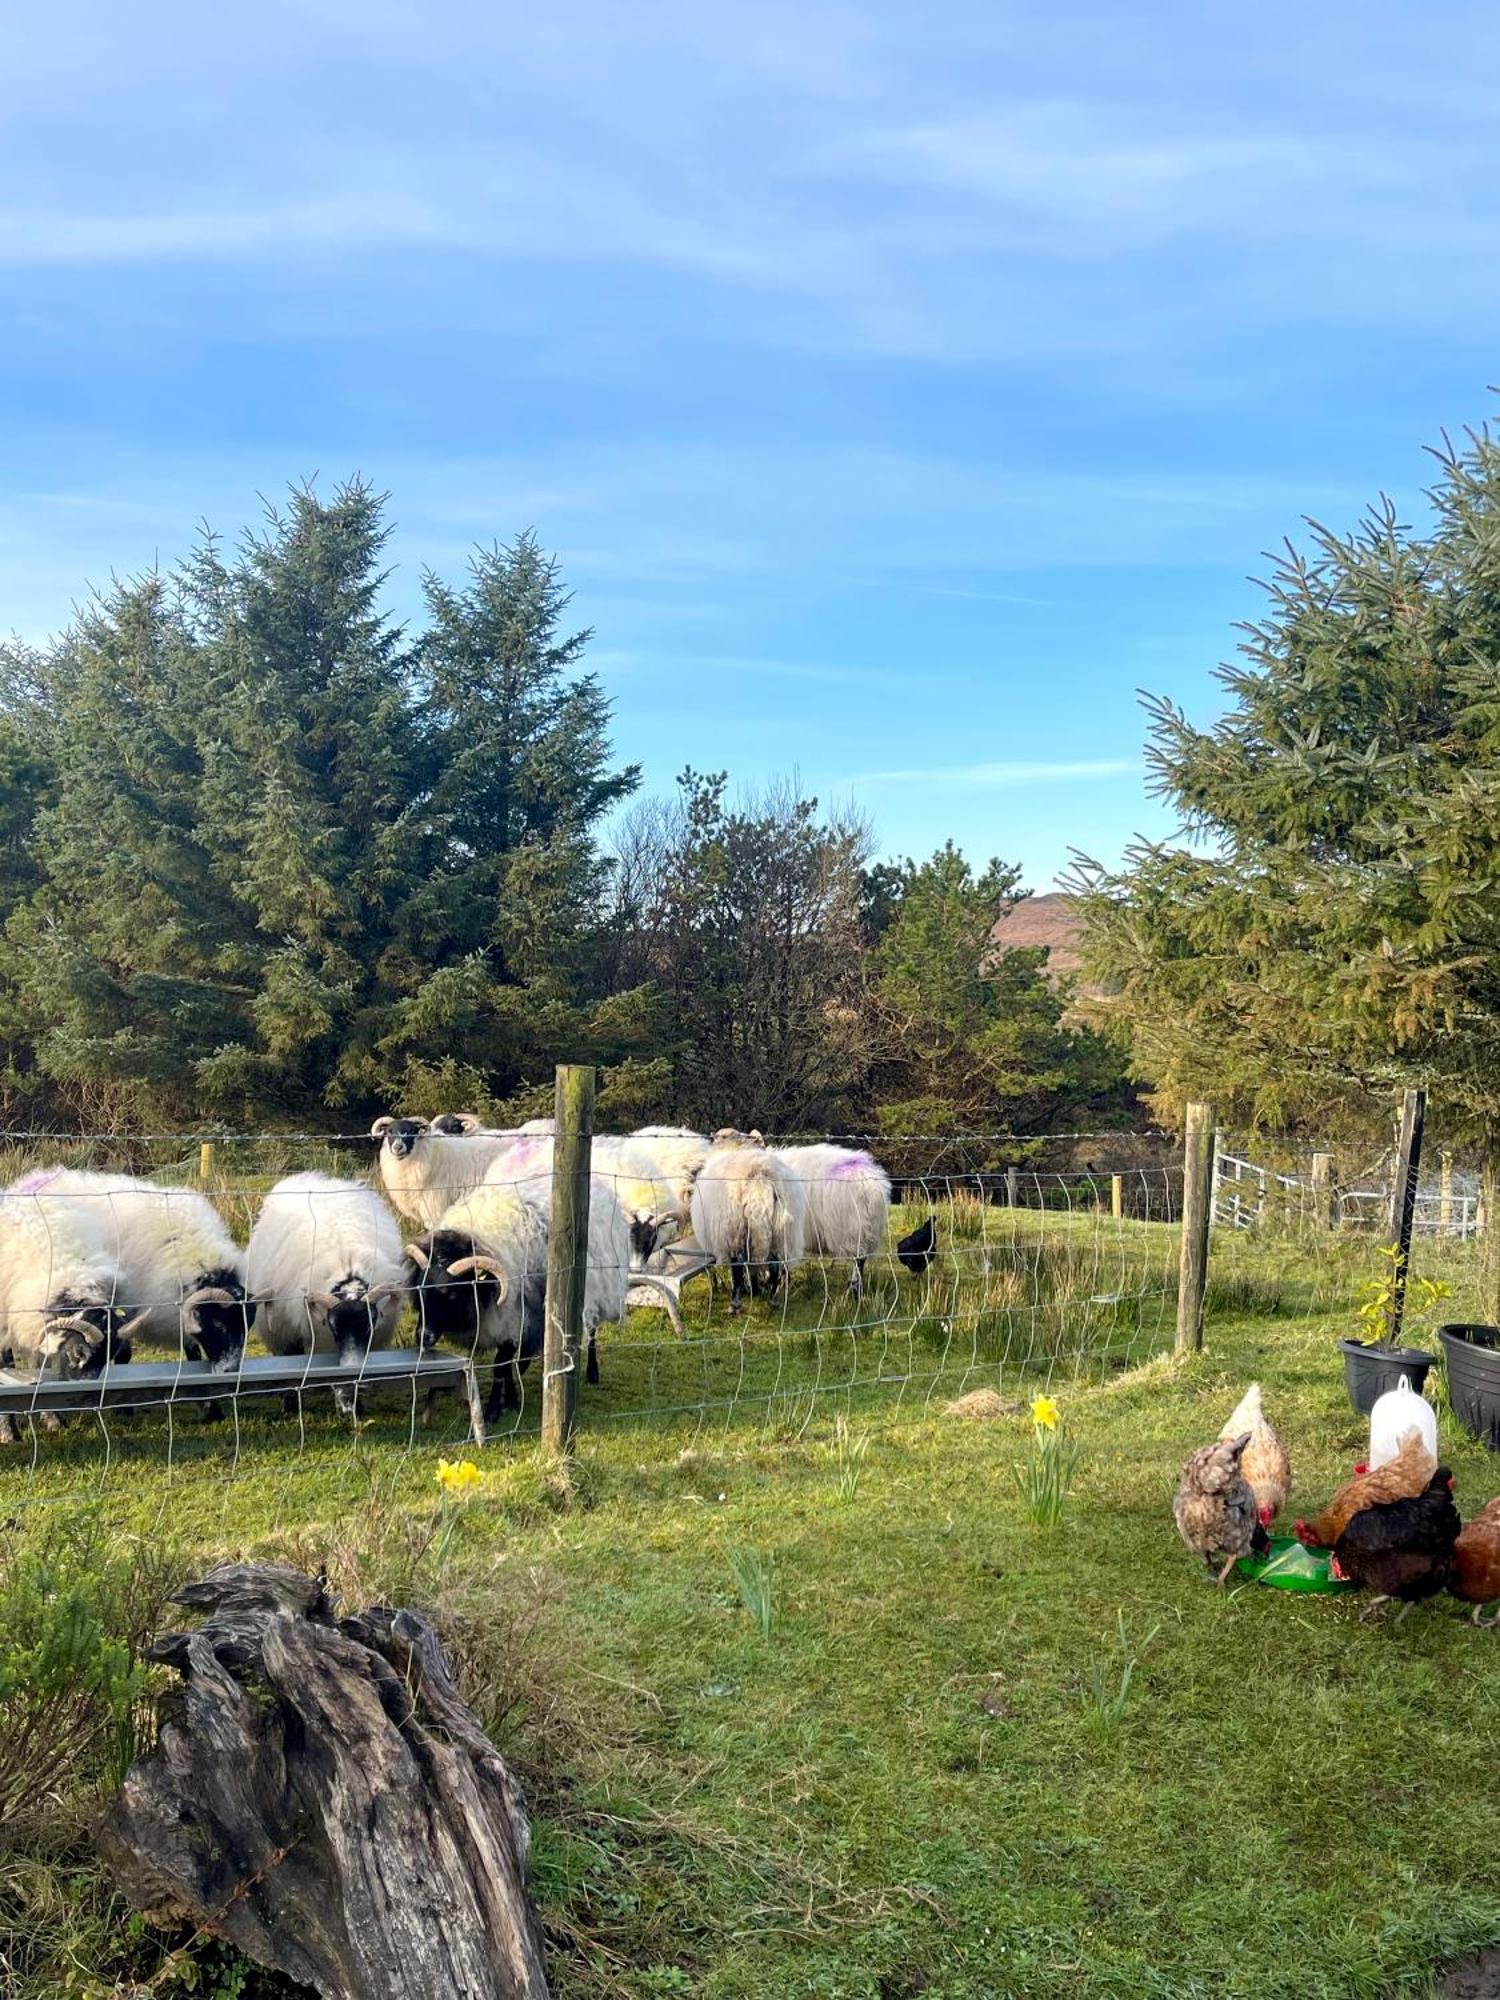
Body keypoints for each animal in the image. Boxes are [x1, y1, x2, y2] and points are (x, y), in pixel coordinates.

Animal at [248, 1168, 408, 1424]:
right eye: (334, 1327)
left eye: (369, 1325)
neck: (347, 1263)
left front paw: (354, 1406)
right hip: (281, 1326)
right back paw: (290, 1404)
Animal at [696, 1128, 812, 1312]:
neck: (737, 1147)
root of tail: (760, 1177)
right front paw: (756, 1288)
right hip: (779, 1229)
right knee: (773, 1263)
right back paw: (772, 1298)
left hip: (734, 1229)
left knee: (738, 1265)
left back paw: (735, 1303)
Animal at [776, 1144, 892, 1296]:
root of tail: (871, 1184)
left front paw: (781, 1286)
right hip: (868, 1229)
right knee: (861, 1260)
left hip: (853, 1230)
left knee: (858, 1260)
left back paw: (853, 1290)